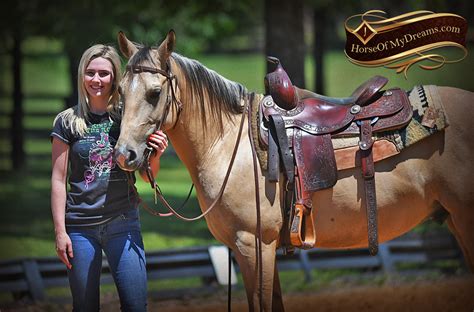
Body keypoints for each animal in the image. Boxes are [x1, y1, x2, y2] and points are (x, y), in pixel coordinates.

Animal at [114, 29, 474, 312]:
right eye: (119, 91)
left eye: (155, 93)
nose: (124, 154)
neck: (229, 141)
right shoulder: (260, 249)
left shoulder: (253, 245)